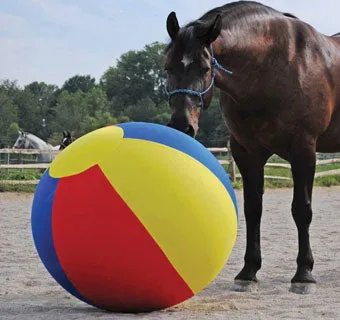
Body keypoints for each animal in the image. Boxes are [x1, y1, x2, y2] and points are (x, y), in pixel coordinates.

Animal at [164, 1, 340, 294]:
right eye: (167, 68)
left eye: (205, 68)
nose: (182, 125)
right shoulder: (247, 153)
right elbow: (252, 209)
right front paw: (248, 272)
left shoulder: (303, 149)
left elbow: (301, 210)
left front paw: (303, 274)